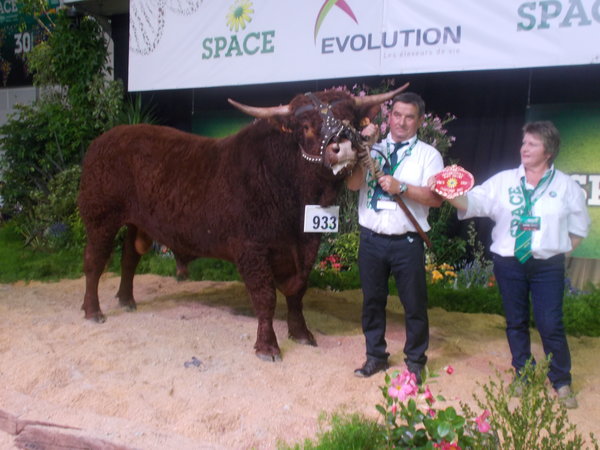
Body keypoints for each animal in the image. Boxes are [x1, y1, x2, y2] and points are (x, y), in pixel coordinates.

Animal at [78, 82, 408, 360]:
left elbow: (297, 292)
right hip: (101, 216)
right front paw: (268, 346)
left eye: (350, 121)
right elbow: (265, 296)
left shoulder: (307, 244)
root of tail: (104, 139)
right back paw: (93, 311)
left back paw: (126, 300)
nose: (344, 147)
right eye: (305, 126)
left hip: (137, 222)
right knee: (95, 261)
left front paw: (301, 333)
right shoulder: (252, 247)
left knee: (129, 257)